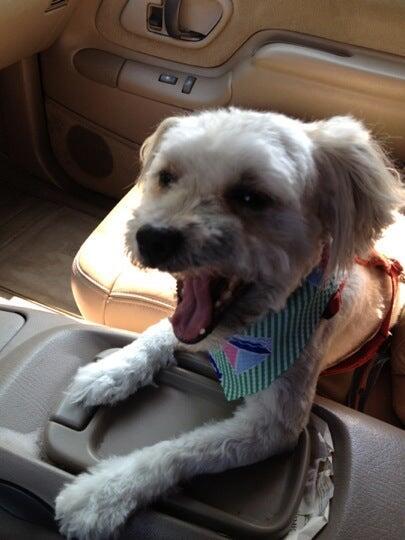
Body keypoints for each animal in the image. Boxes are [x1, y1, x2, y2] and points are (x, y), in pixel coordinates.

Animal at [55, 108, 405, 539]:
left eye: (251, 197)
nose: (152, 237)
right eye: (167, 176)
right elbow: (156, 335)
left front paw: (103, 493)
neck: (246, 330)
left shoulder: (274, 427)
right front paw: (111, 371)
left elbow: (184, 449)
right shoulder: (189, 327)